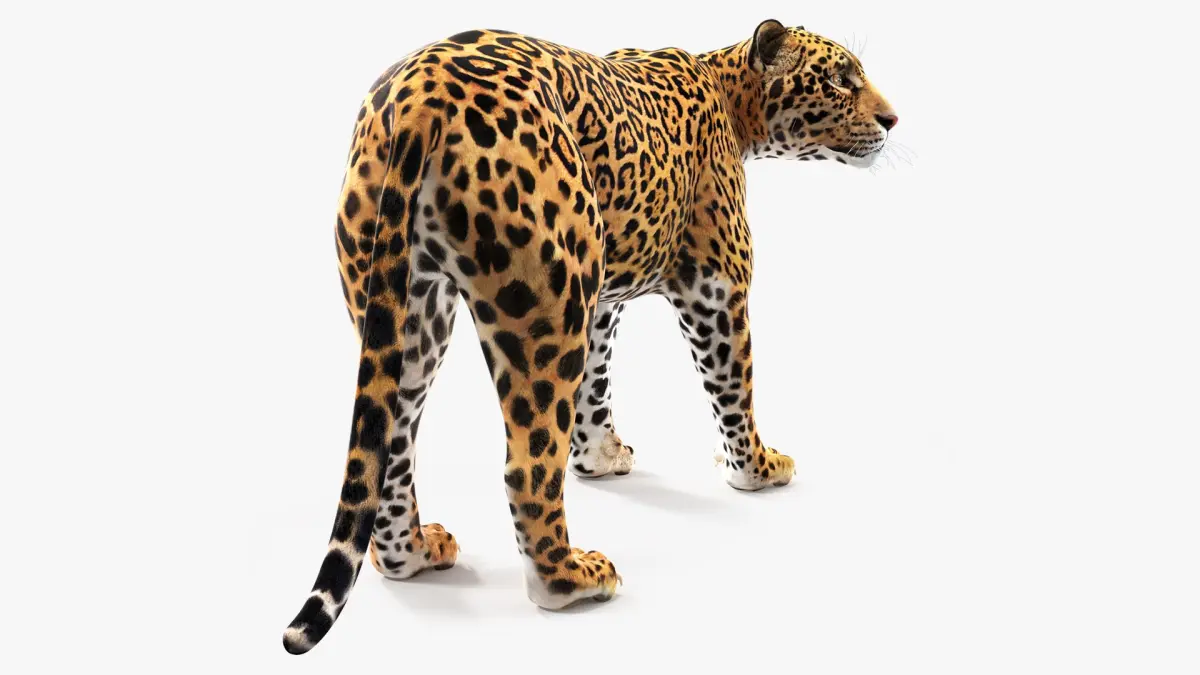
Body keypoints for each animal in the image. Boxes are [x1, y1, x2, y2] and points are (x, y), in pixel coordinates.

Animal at [283, 19, 897, 654]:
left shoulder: (600, 298)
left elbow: (596, 386)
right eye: (839, 80)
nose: (892, 120)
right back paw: (572, 579)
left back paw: (414, 555)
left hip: (404, 307)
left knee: (391, 446)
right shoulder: (715, 285)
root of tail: (420, 93)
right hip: (546, 310)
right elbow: (734, 386)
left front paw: (600, 457)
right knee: (526, 468)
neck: (732, 96)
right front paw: (755, 468)